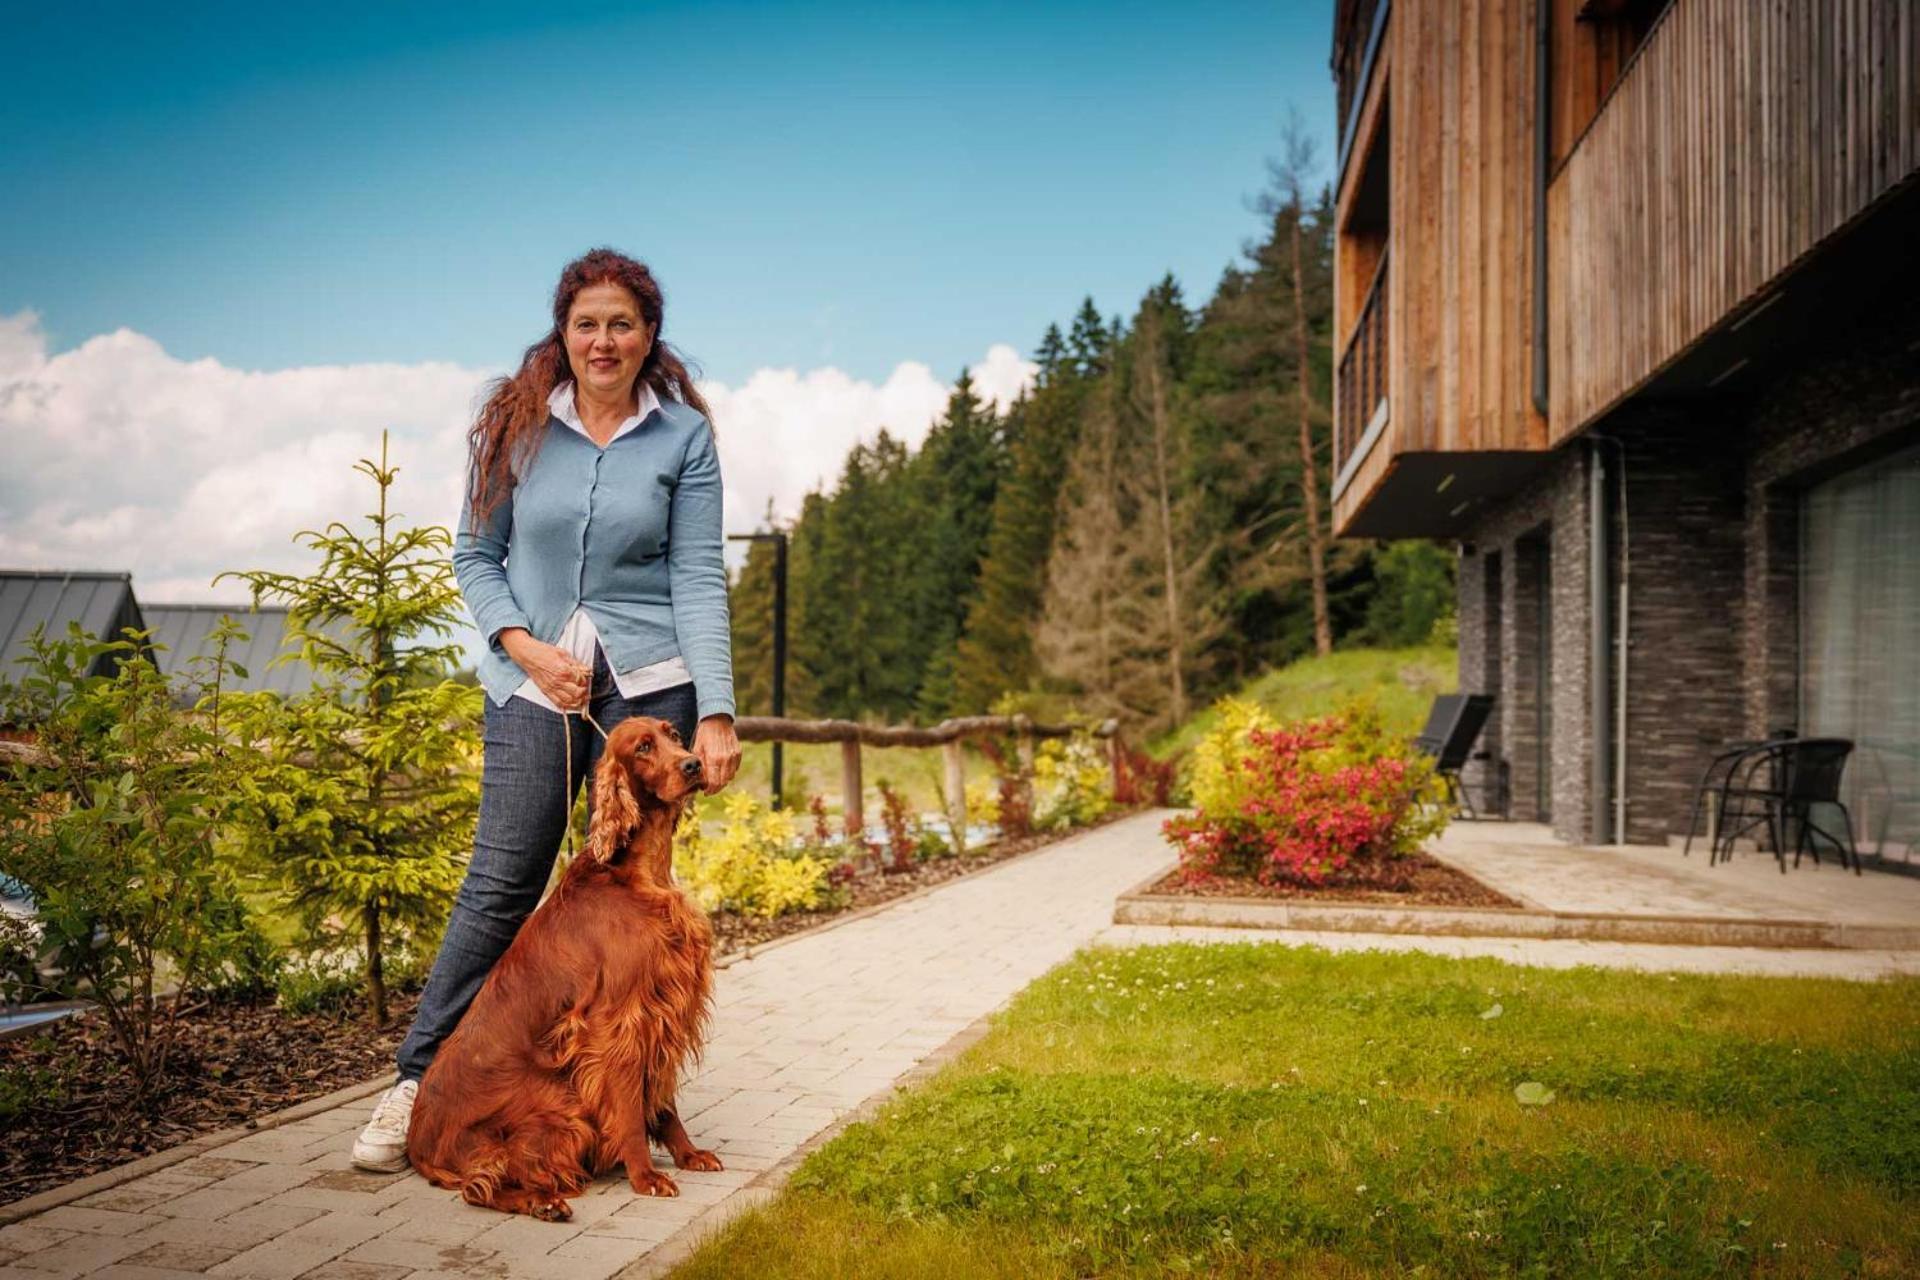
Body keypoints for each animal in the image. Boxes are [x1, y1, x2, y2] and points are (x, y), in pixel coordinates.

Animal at [408, 717, 721, 1220]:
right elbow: (630, 1109)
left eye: (673, 734)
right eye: (643, 748)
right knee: (480, 1186)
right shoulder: (620, 1023)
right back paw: (543, 1201)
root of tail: (418, 1147)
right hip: (561, 1112)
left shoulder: (661, 1013)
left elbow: (662, 1098)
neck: (633, 875)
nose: (692, 764)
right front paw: (646, 1176)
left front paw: (687, 1154)